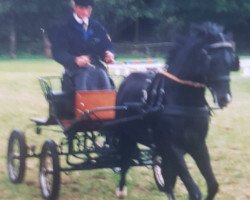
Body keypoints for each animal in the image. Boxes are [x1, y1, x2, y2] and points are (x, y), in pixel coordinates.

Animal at [114, 22, 239, 200]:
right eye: (209, 59)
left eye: (231, 60)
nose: (225, 98)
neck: (183, 102)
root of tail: (127, 79)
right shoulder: (173, 147)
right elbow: (194, 191)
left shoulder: (198, 145)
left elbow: (212, 185)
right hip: (126, 135)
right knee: (124, 161)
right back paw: (121, 189)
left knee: (167, 178)